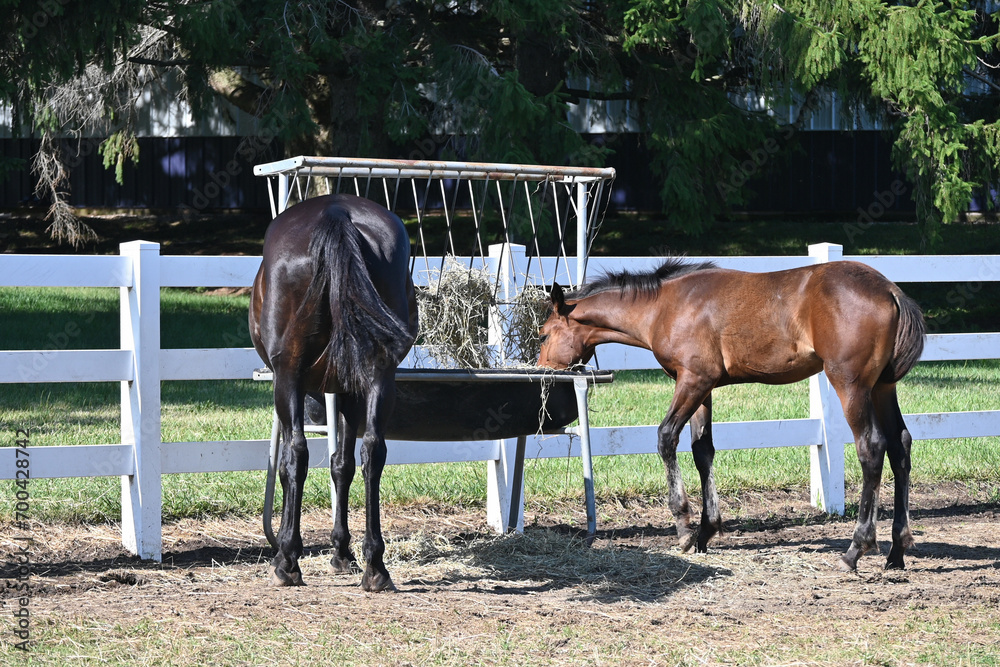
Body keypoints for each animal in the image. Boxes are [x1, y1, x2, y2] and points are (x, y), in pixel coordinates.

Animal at [254, 193, 422, 588]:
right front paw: (343, 551)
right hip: (379, 375)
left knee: (297, 455)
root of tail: (336, 212)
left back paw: (287, 561)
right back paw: (376, 566)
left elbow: (289, 466)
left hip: (289, 375)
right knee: (373, 451)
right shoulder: (349, 391)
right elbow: (342, 465)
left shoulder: (292, 384)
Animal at [544, 258, 924, 572]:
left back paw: (855, 549)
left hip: (851, 384)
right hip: (882, 388)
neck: (665, 305)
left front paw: (684, 527)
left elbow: (666, 437)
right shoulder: (703, 387)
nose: (544, 371)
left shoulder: (692, 380)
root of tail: (890, 290)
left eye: (544, 333)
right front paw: (705, 531)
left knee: (871, 448)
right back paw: (897, 550)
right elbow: (703, 450)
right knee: (900, 446)